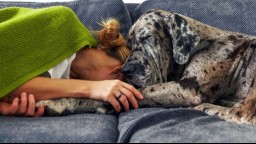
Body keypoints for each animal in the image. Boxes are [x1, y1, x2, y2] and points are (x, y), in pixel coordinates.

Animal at [38, 9, 256, 125]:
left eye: (147, 38)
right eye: (130, 44)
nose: (126, 71)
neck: (201, 44)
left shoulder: (186, 88)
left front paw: (58, 103)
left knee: (242, 114)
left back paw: (207, 107)